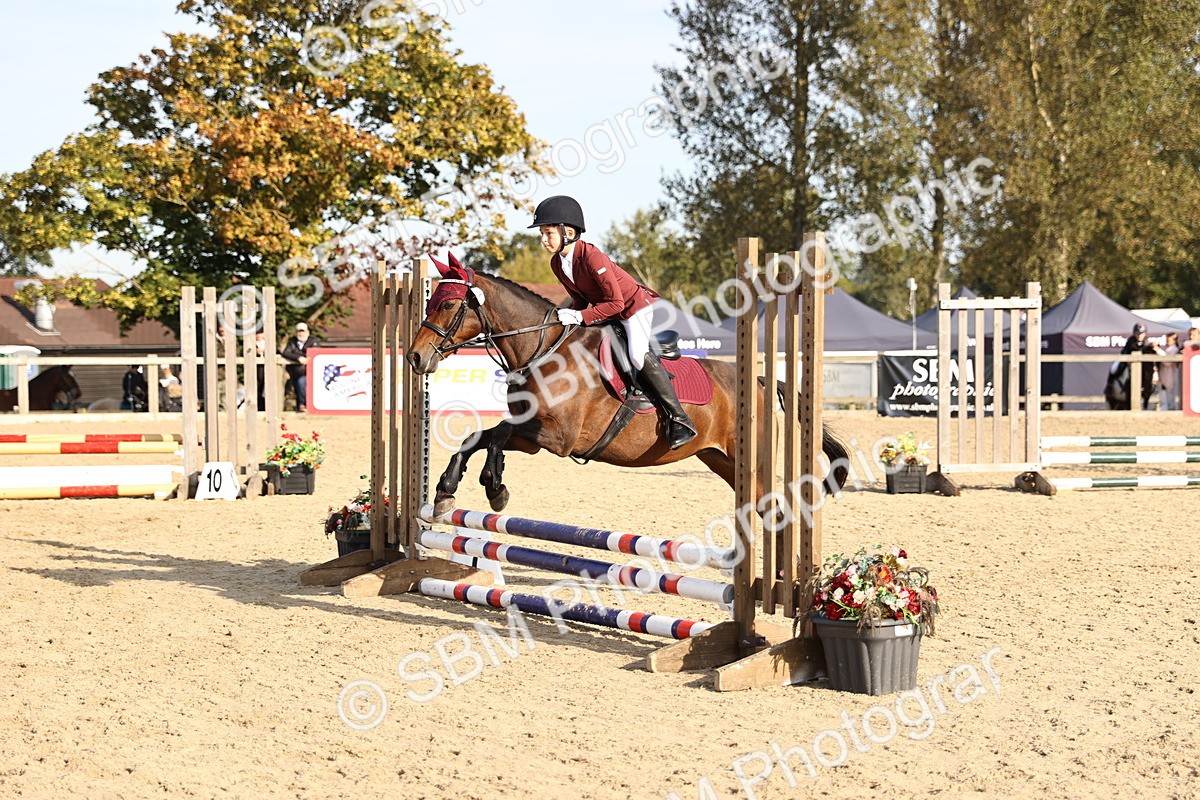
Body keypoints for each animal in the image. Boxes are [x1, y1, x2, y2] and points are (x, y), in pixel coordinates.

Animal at [406, 254, 850, 516]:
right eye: (429, 301)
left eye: (448, 304)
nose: (414, 358)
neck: (543, 348)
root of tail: (758, 381)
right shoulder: (533, 437)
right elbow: (478, 436)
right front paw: (446, 491)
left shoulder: (556, 438)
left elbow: (496, 436)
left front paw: (494, 486)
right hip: (721, 460)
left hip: (750, 462)